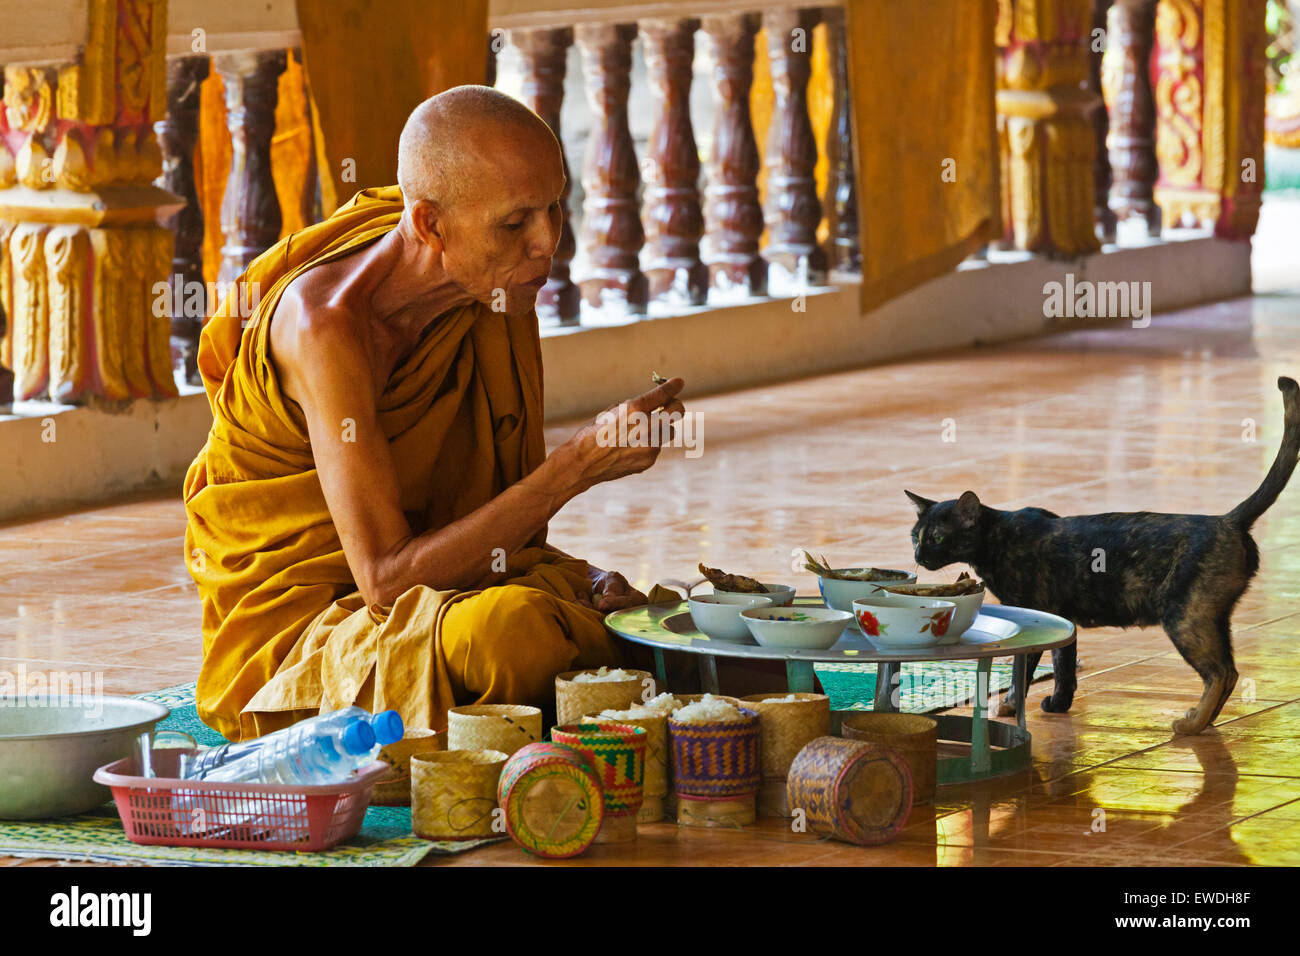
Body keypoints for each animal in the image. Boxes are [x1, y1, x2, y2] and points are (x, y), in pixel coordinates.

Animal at [904, 377, 1300, 738]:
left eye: (937, 538)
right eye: (915, 536)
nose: (919, 555)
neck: (998, 537)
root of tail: (1228, 520)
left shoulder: (1036, 614)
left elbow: (1024, 672)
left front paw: (1009, 706)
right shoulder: (1062, 620)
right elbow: (1064, 667)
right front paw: (1059, 704)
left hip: (1186, 619)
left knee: (1222, 672)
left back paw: (1191, 725)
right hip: (1212, 619)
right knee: (1229, 672)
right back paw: (1204, 720)